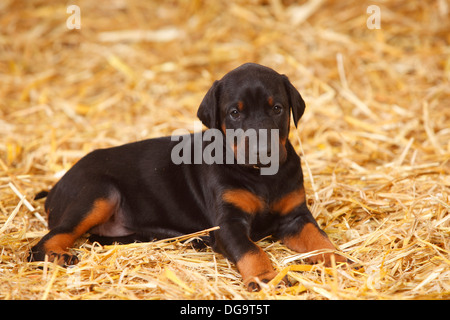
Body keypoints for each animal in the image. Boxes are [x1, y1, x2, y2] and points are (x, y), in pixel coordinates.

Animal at [30, 62, 348, 290]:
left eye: (278, 108)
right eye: (234, 113)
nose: (262, 150)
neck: (261, 177)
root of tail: (56, 187)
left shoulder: (295, 216)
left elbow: (318, 238)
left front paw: (340, 260)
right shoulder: (228, 224)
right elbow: (251, 250)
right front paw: (267, 277)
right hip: (98, 193)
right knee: (44, 242)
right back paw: (57, 255)